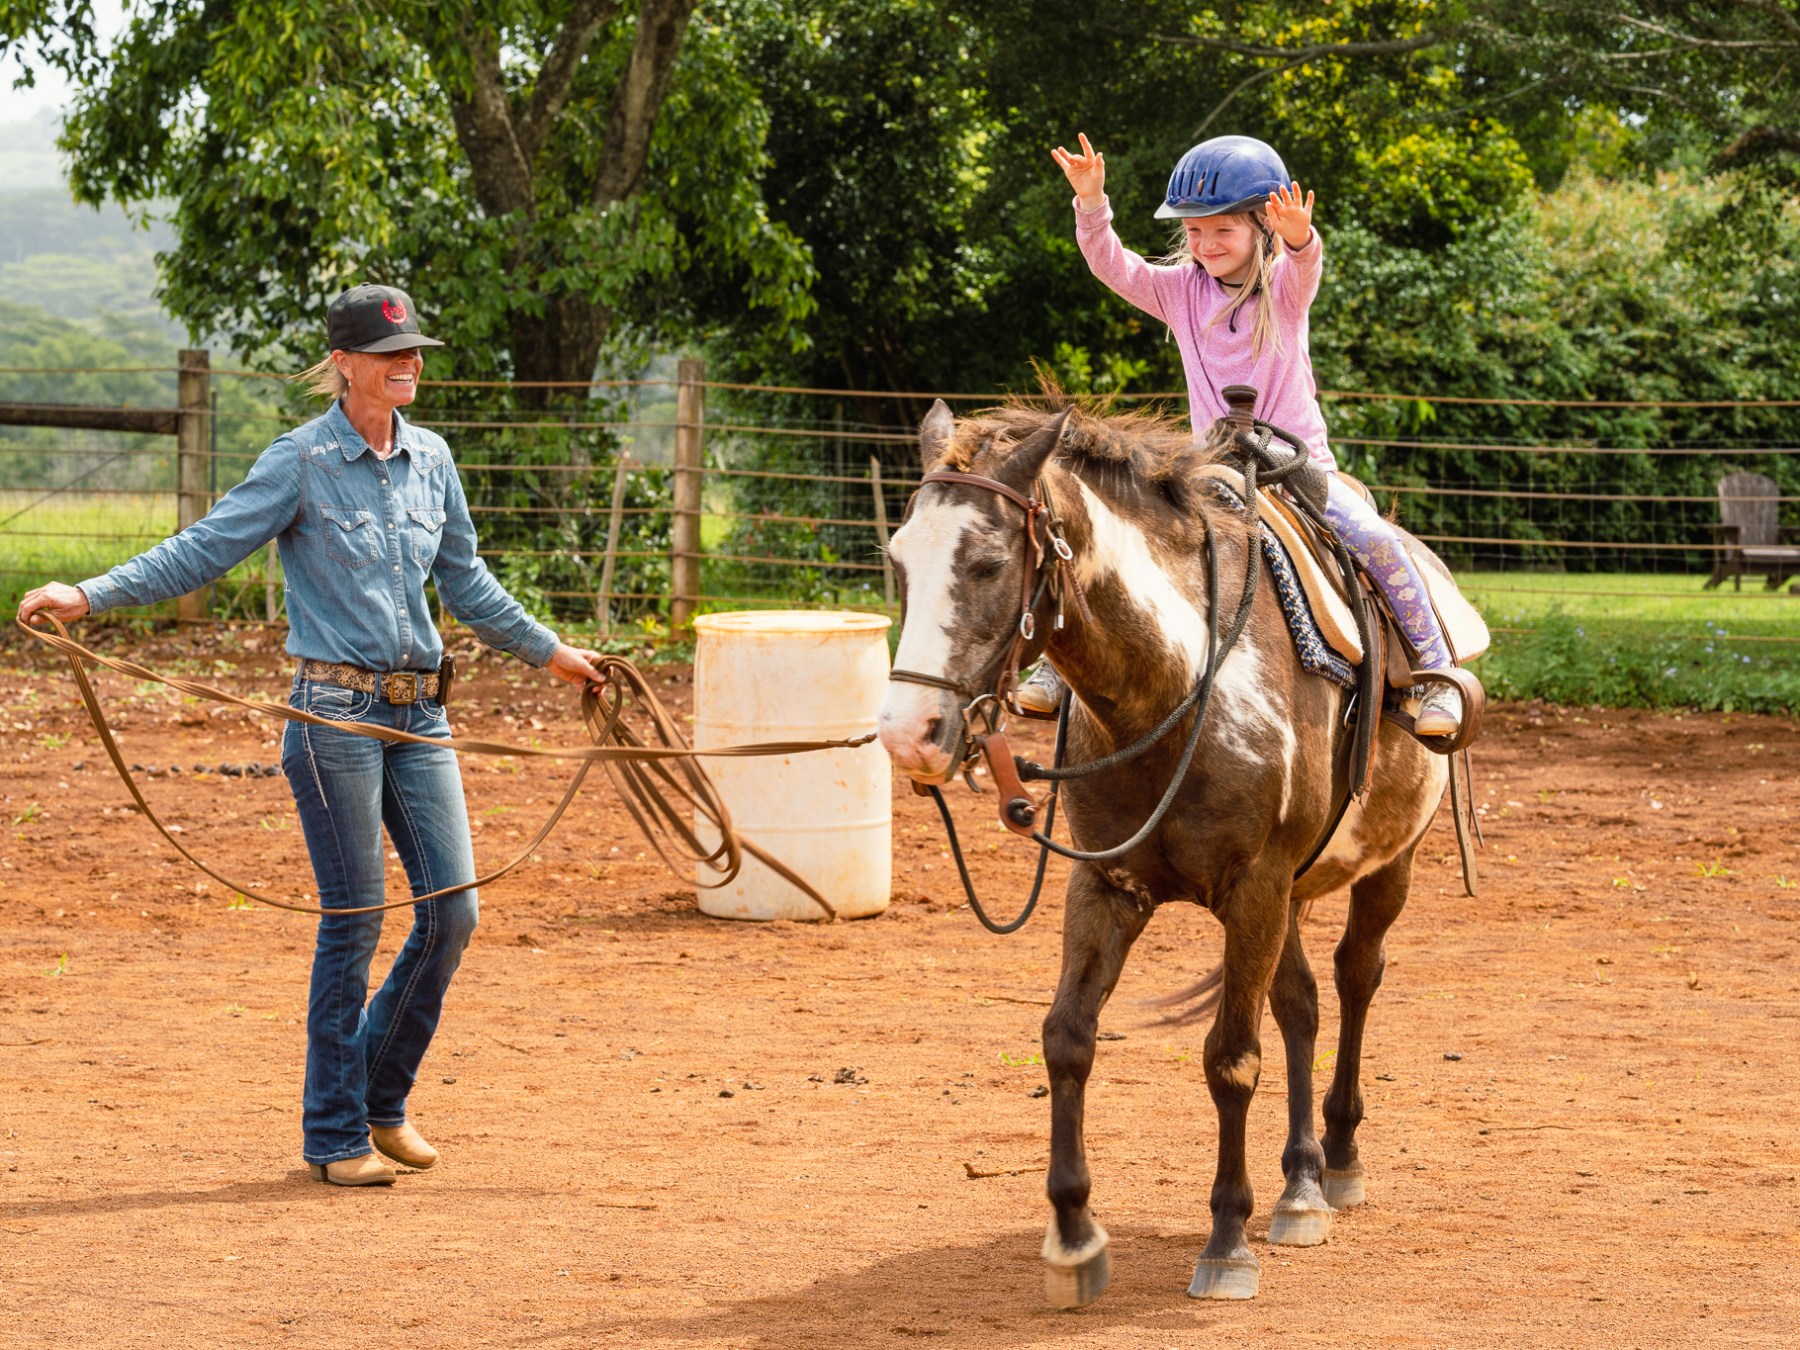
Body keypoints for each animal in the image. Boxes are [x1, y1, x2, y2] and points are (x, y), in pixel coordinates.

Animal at [877, 396, 1450, 1306]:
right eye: (899, 558)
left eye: (989, 562)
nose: (909, 733)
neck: (1174, 689)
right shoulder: (1109, 886)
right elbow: (1067, 1038)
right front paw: (1074, 1237)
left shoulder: (1254, 889)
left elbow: (1229, 1059)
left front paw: (1226, 1241)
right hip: (1290, 896)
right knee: (1300, 1004)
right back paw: (1300, 1186)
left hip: (1385, 866)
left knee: (1357, 979)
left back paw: (1339, 1159)